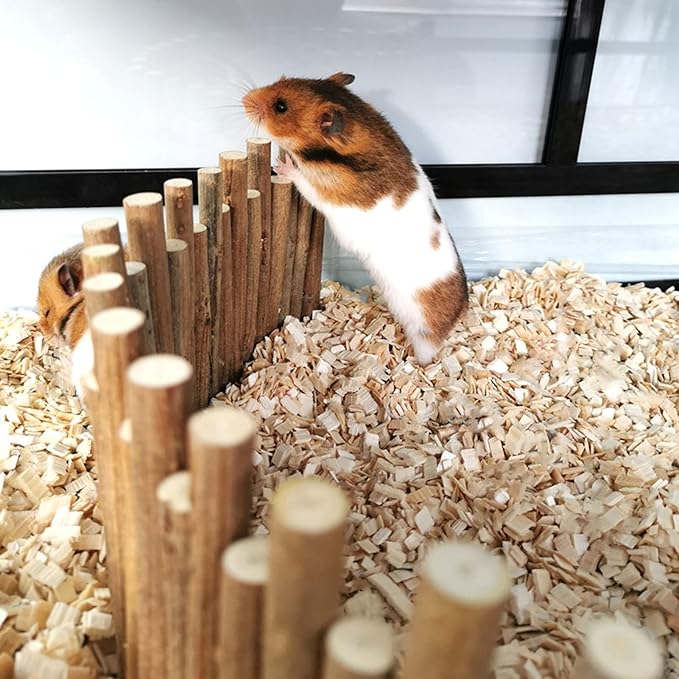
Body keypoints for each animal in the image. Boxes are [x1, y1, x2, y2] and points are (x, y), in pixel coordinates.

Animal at [242, 72, 468, 365]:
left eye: (281, 107)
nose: (243, 99)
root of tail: (461, 311)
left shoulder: (324, 188)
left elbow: (301, 179)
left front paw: (281, 164)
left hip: (423, 333)